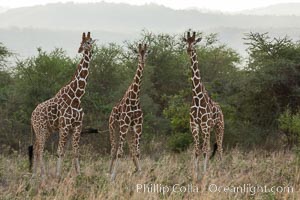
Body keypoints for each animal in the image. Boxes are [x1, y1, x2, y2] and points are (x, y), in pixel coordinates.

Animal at [28, 31, 95, 178]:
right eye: (82, 42)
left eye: (90, 41)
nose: (80, 49)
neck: (77, 97)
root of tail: (32, 115)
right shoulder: (64, 126)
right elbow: (60, 151)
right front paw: (58, 175)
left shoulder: (77, 126)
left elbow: (75, 152)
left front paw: (79, 175)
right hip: (41, 129)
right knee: (39, 149)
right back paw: (43, 174)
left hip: (45, 130)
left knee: (36, 148)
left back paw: (34, 174)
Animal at [109, 43, 149, 180]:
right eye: (138, 53)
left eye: (146, 53)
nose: (142, 61)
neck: (134, 98)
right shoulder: (123, 125)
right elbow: (120, 153)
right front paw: (113, 176)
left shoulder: (138, 126)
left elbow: (137, 152)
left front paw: (141, 173)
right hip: (114, 127)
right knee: (113, 149)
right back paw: (109, 172)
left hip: (129, 132)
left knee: (131, 150)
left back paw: (136, 170)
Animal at [182, 31, 224, 181]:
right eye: (186, 42)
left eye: (194, 42)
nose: (189, 50)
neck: (197, 97)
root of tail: (221, 110)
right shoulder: (194, 125)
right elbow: (197, 150)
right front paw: (196, 174)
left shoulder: (205, 125)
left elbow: (204, 150)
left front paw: (204, 174)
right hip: (209, 129)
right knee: (210, 147)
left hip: (219, 127)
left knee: (220, 148)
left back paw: (221, 171)